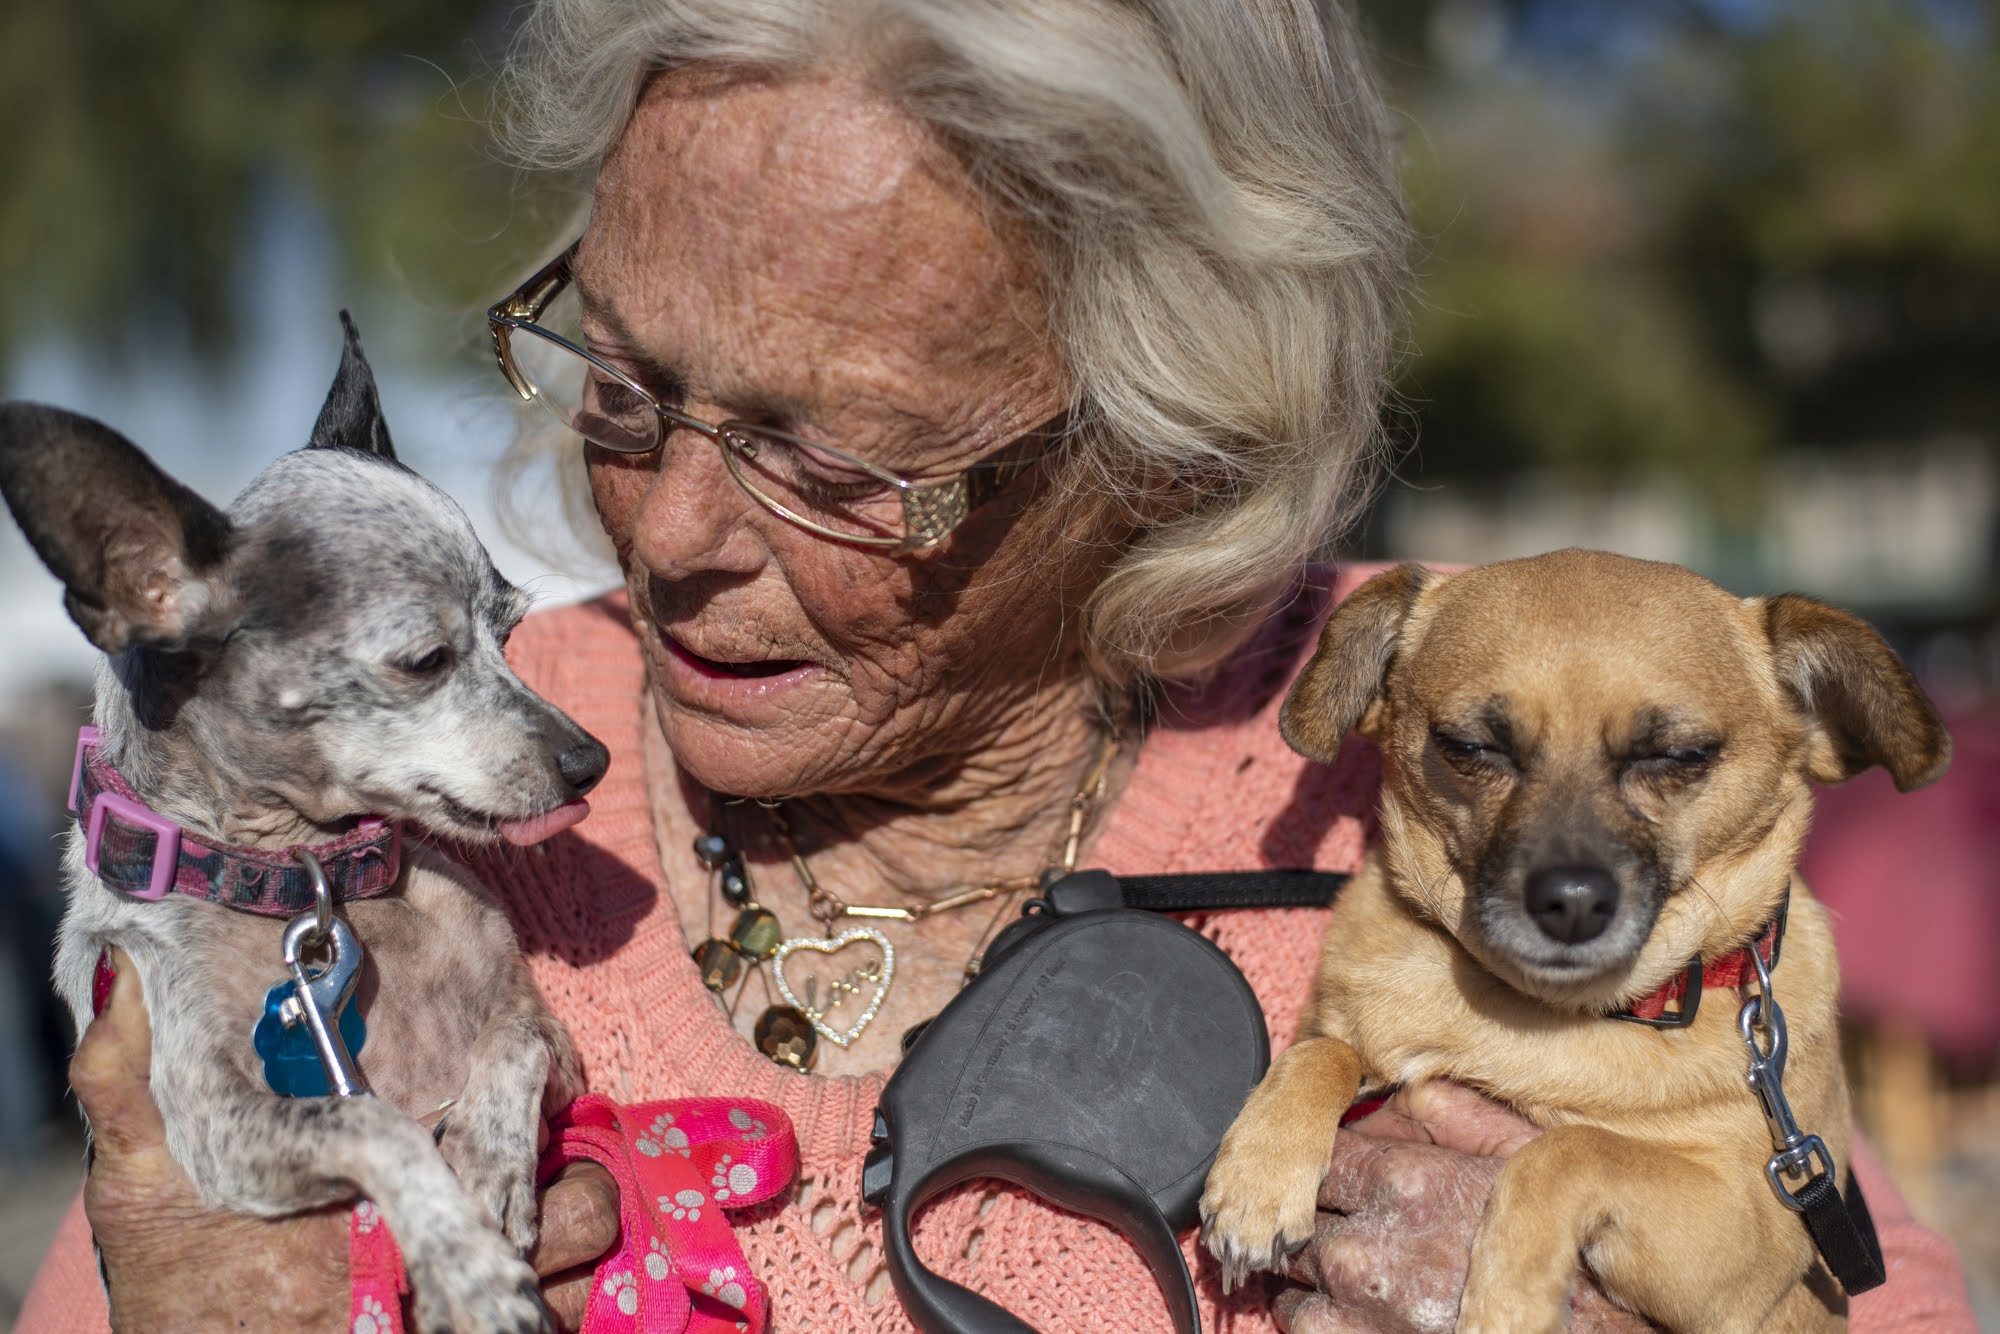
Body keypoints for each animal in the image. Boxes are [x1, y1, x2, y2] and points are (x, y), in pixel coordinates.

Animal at [1, 316, 608, 1334]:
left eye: (513, 633)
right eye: (426, 659)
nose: (589, 762)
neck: (312, 878)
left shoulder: (556, 1047)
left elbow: (513, 1043)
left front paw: (488, 1165)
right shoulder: (217, 1128)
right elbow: (379, 1120)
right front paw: (465, 1263)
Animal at [1200, 548, 1952, 1328]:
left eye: (1678, 754)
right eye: (1472, 747)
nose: (1570, 903)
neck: (1546, 1015)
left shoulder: (1749, 1234)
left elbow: (1569, 1150)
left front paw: (1508, 1301)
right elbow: (1326, 1050)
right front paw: (1259, 1178)